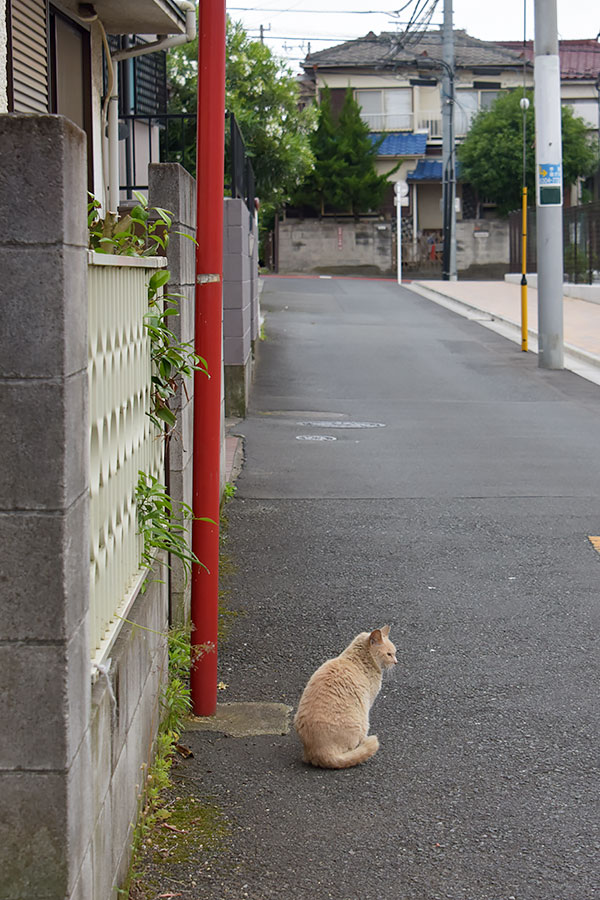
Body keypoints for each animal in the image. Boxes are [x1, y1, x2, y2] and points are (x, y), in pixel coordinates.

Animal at [292, 624, 396, 768]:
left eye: (395, 653)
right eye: (389, 654)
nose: (396, 662)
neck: (357, 660)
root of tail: (319, 752)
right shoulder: (368, 702)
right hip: (362, 722)